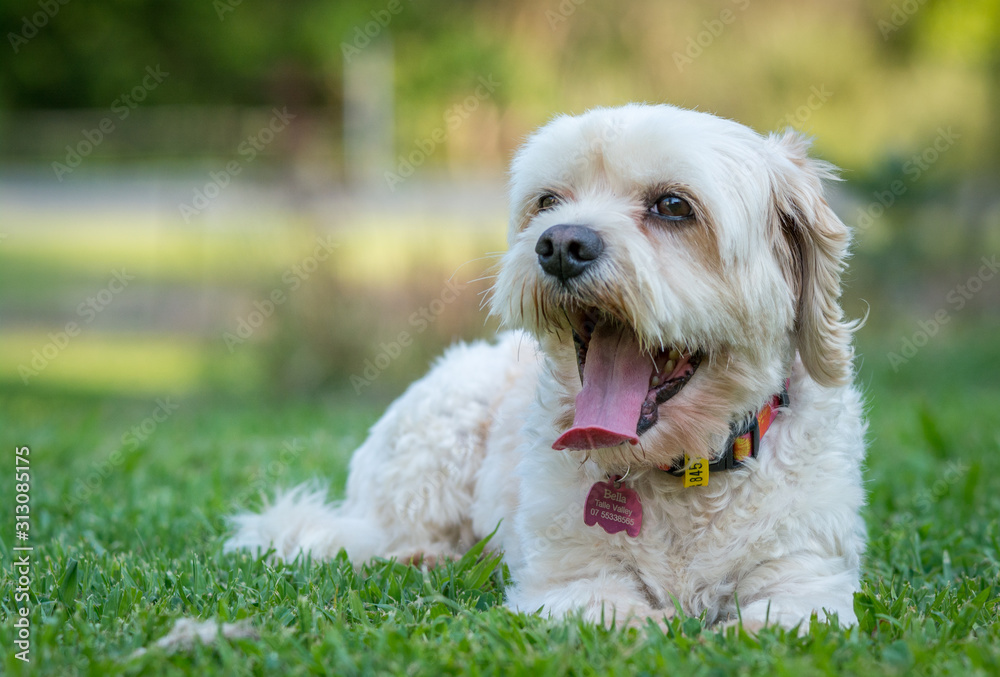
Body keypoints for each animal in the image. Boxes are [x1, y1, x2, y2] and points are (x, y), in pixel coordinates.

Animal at [227, 103, 868, 632]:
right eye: (548, 202)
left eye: (673, 206)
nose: (560, 244)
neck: (683, 468)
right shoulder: (567, 584)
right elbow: (616, 615)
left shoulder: (806, 582)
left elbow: (777, 623)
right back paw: (424, 556)